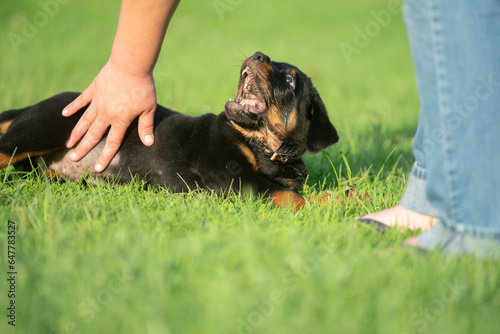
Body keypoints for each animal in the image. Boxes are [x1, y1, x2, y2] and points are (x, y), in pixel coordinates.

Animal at [0, 51, 338, 209]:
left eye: (290, 81)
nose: (258, 55)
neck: (263, 147)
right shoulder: (229, 176)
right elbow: (289, 197)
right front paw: (340, 200)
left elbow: (292, 191)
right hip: (43, 128)